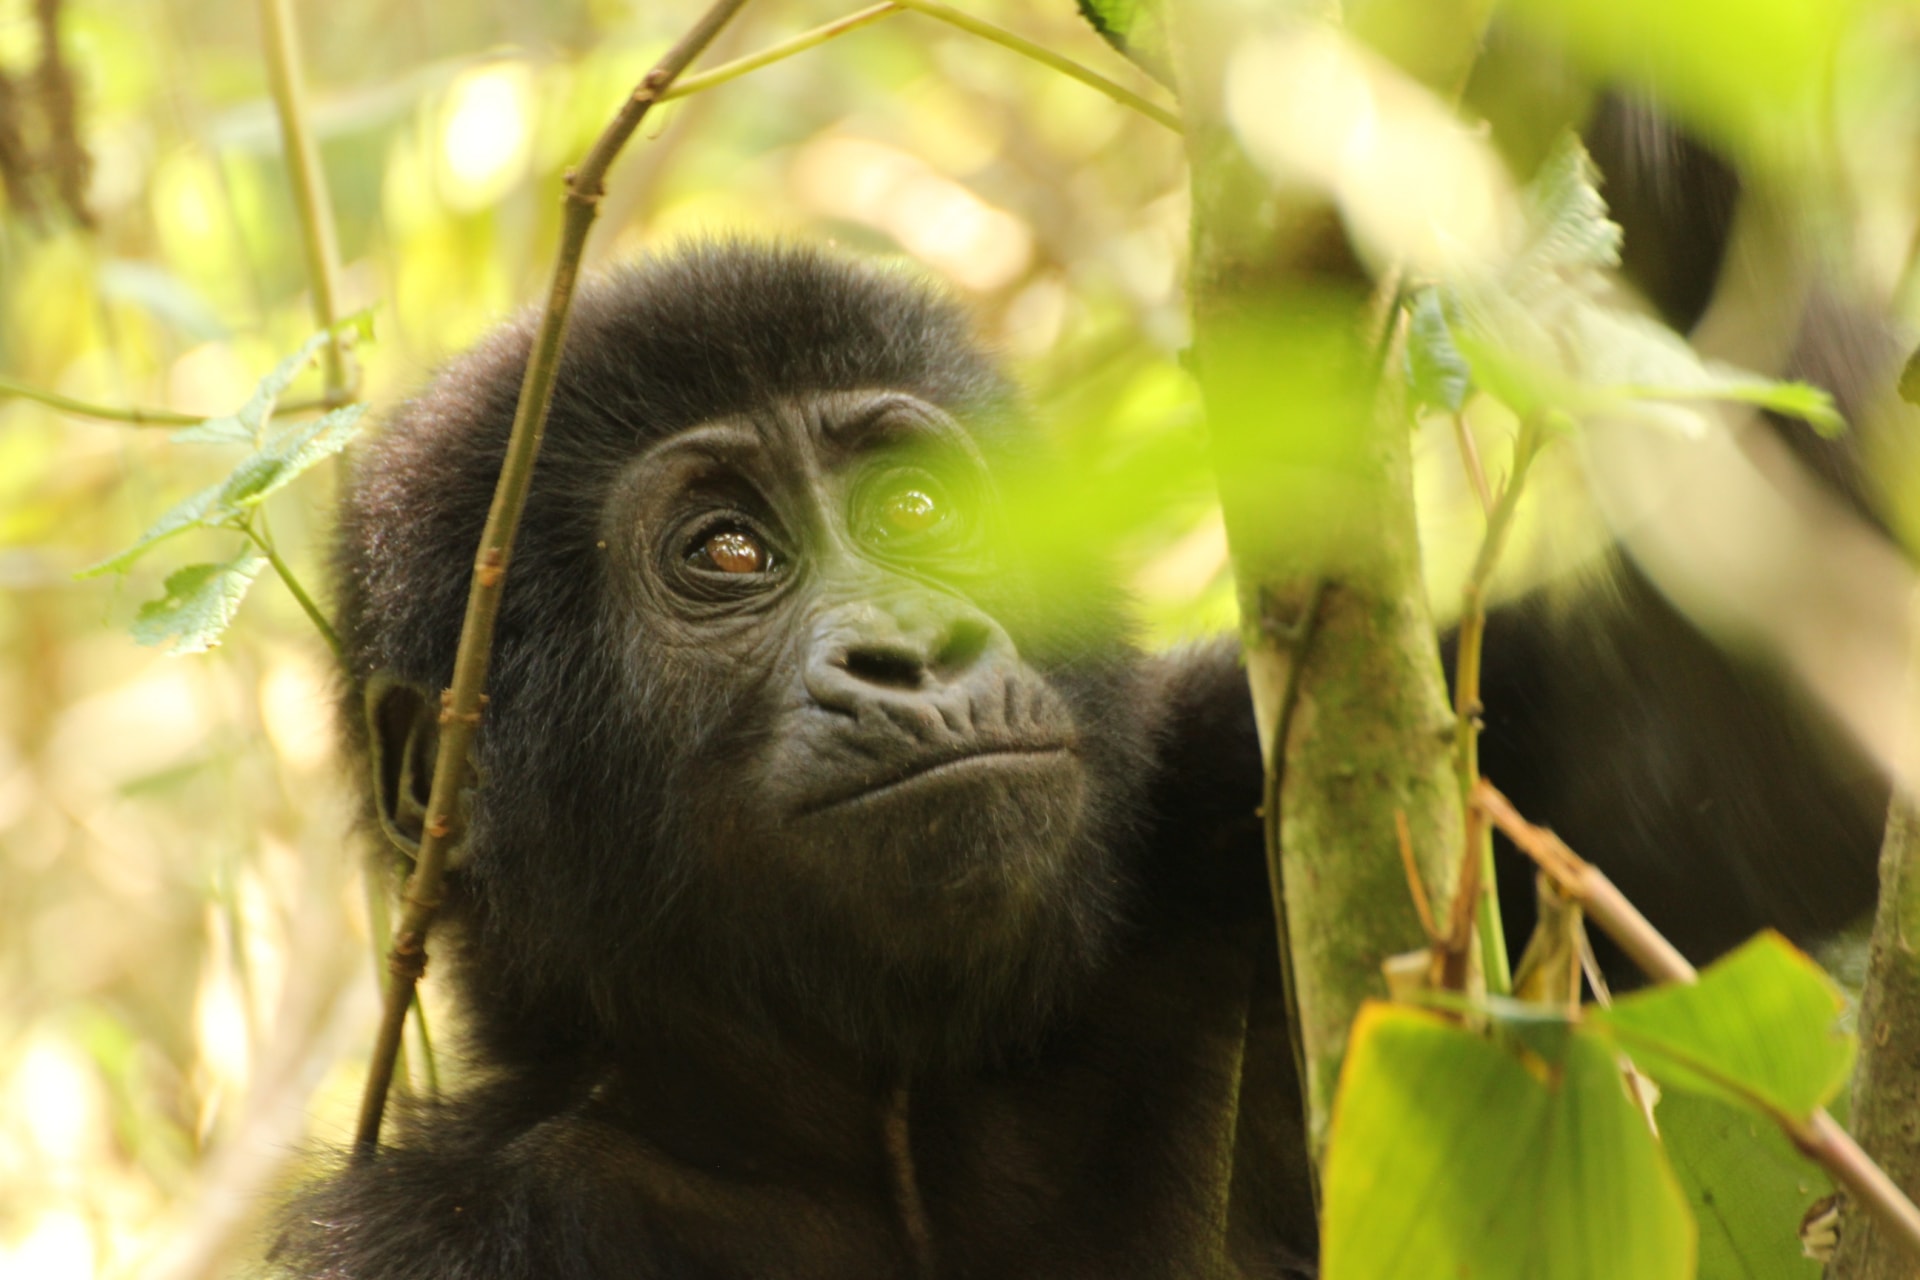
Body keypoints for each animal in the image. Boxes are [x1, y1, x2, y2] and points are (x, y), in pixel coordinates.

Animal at [274, 237, 1889, 1274]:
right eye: (725, 551)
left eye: (916, 510)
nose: (917, 653)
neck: (895, 1110)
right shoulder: (445, 1234)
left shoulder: (1230, 789)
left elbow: (1746, 758)